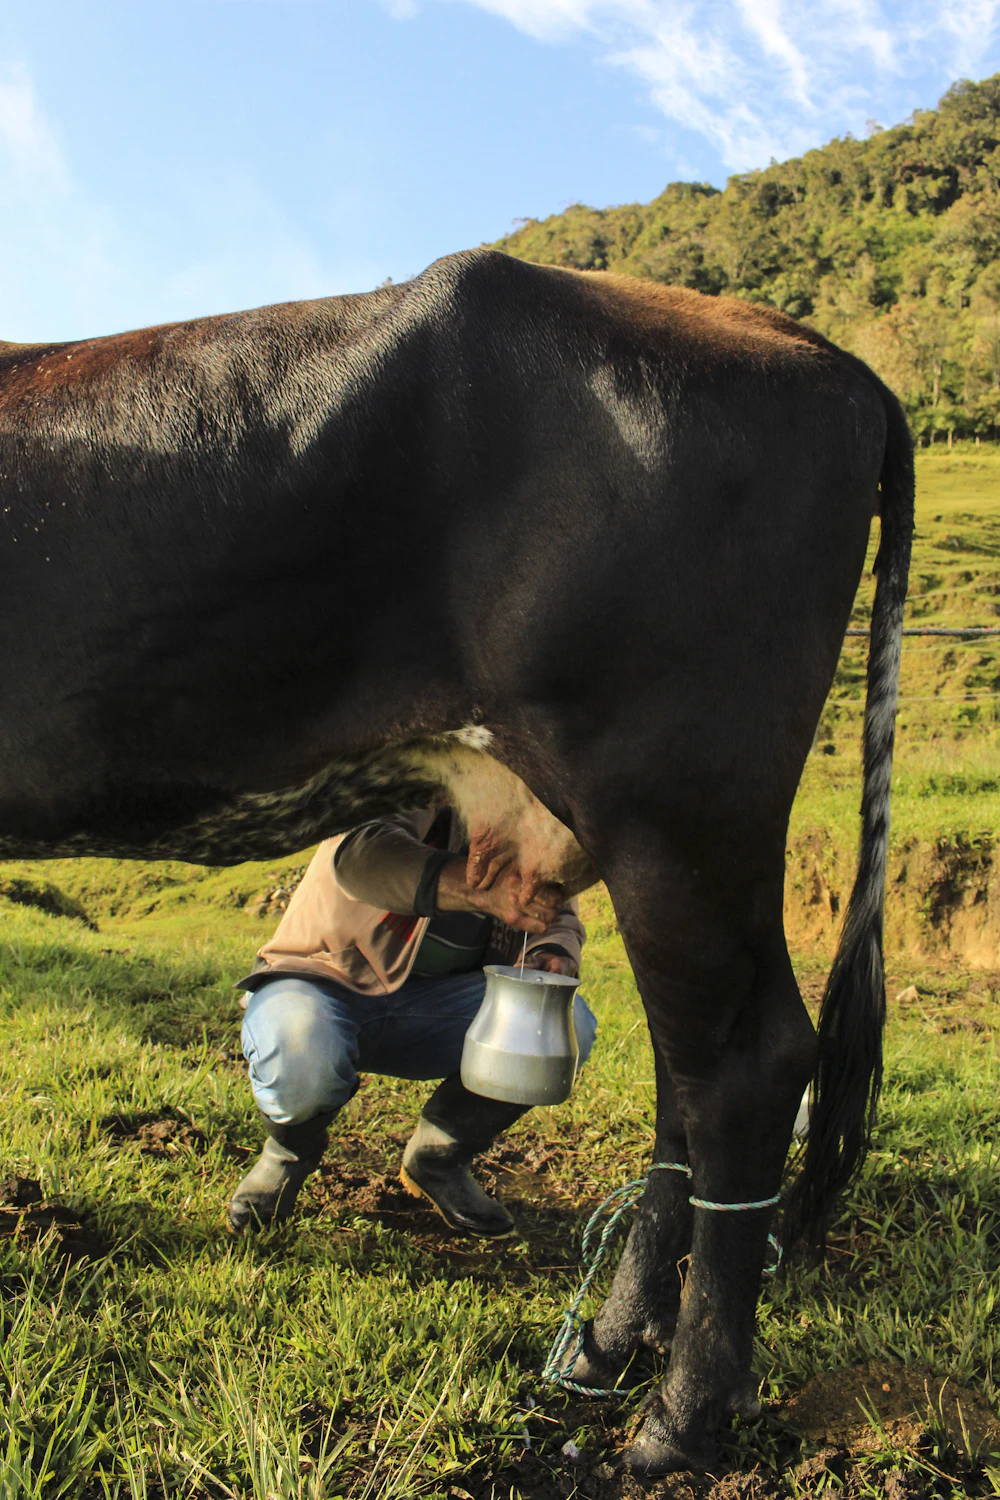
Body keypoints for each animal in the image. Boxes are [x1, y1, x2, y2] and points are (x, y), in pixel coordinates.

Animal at [0, 248, 912, 1475]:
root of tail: (811, 347)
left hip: (675, 806)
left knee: (743, 1070)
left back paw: (680, 1415)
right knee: (685, 1077)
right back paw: (605, 1350)